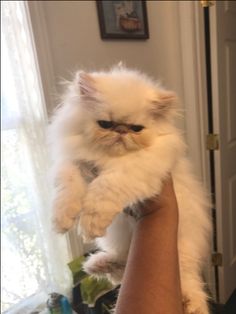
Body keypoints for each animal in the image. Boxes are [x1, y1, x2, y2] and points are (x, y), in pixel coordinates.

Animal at [49, 66, 212, 314]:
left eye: (136, 129)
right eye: (105, 124)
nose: (121, 131)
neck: (110, 158)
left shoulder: (133, 171)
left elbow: (103, 191)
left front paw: (89, 224)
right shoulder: (73, 163)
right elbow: (67, 191)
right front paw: (62, 221)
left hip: (183, 254)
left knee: (189, 283)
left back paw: (193, 305)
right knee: (119, 267)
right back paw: (96, 264)